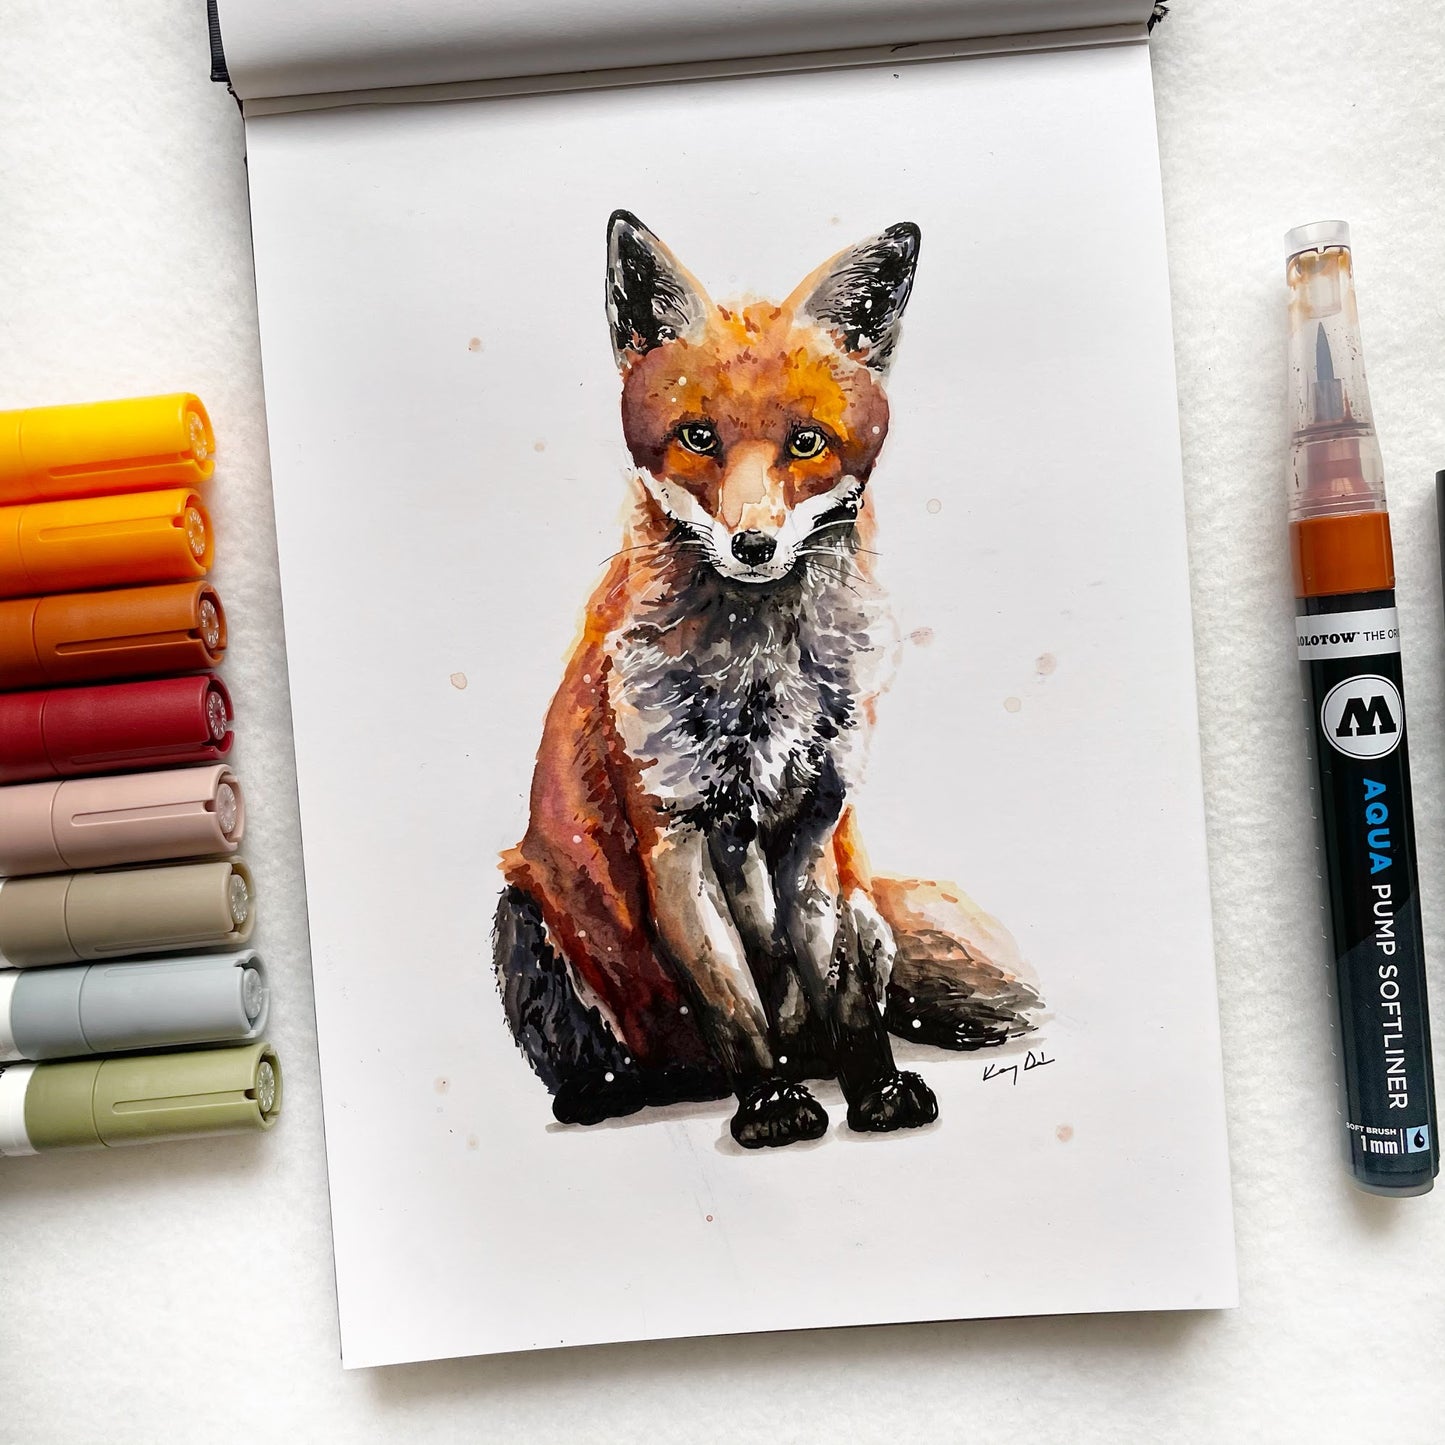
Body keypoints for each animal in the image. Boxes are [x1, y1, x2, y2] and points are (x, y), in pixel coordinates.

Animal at [493, 210, 1041, 1149]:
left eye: (806, 442)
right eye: (698, 437)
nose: (752, 544)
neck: (760, 684)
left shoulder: (814, 831)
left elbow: (846, 999)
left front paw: (873, 1091)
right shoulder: (673, 833)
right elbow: (734, 1002)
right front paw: (773, 1106)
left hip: (866, 905)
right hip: (520, 913)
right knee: (610, 1055)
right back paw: (614, 1089)